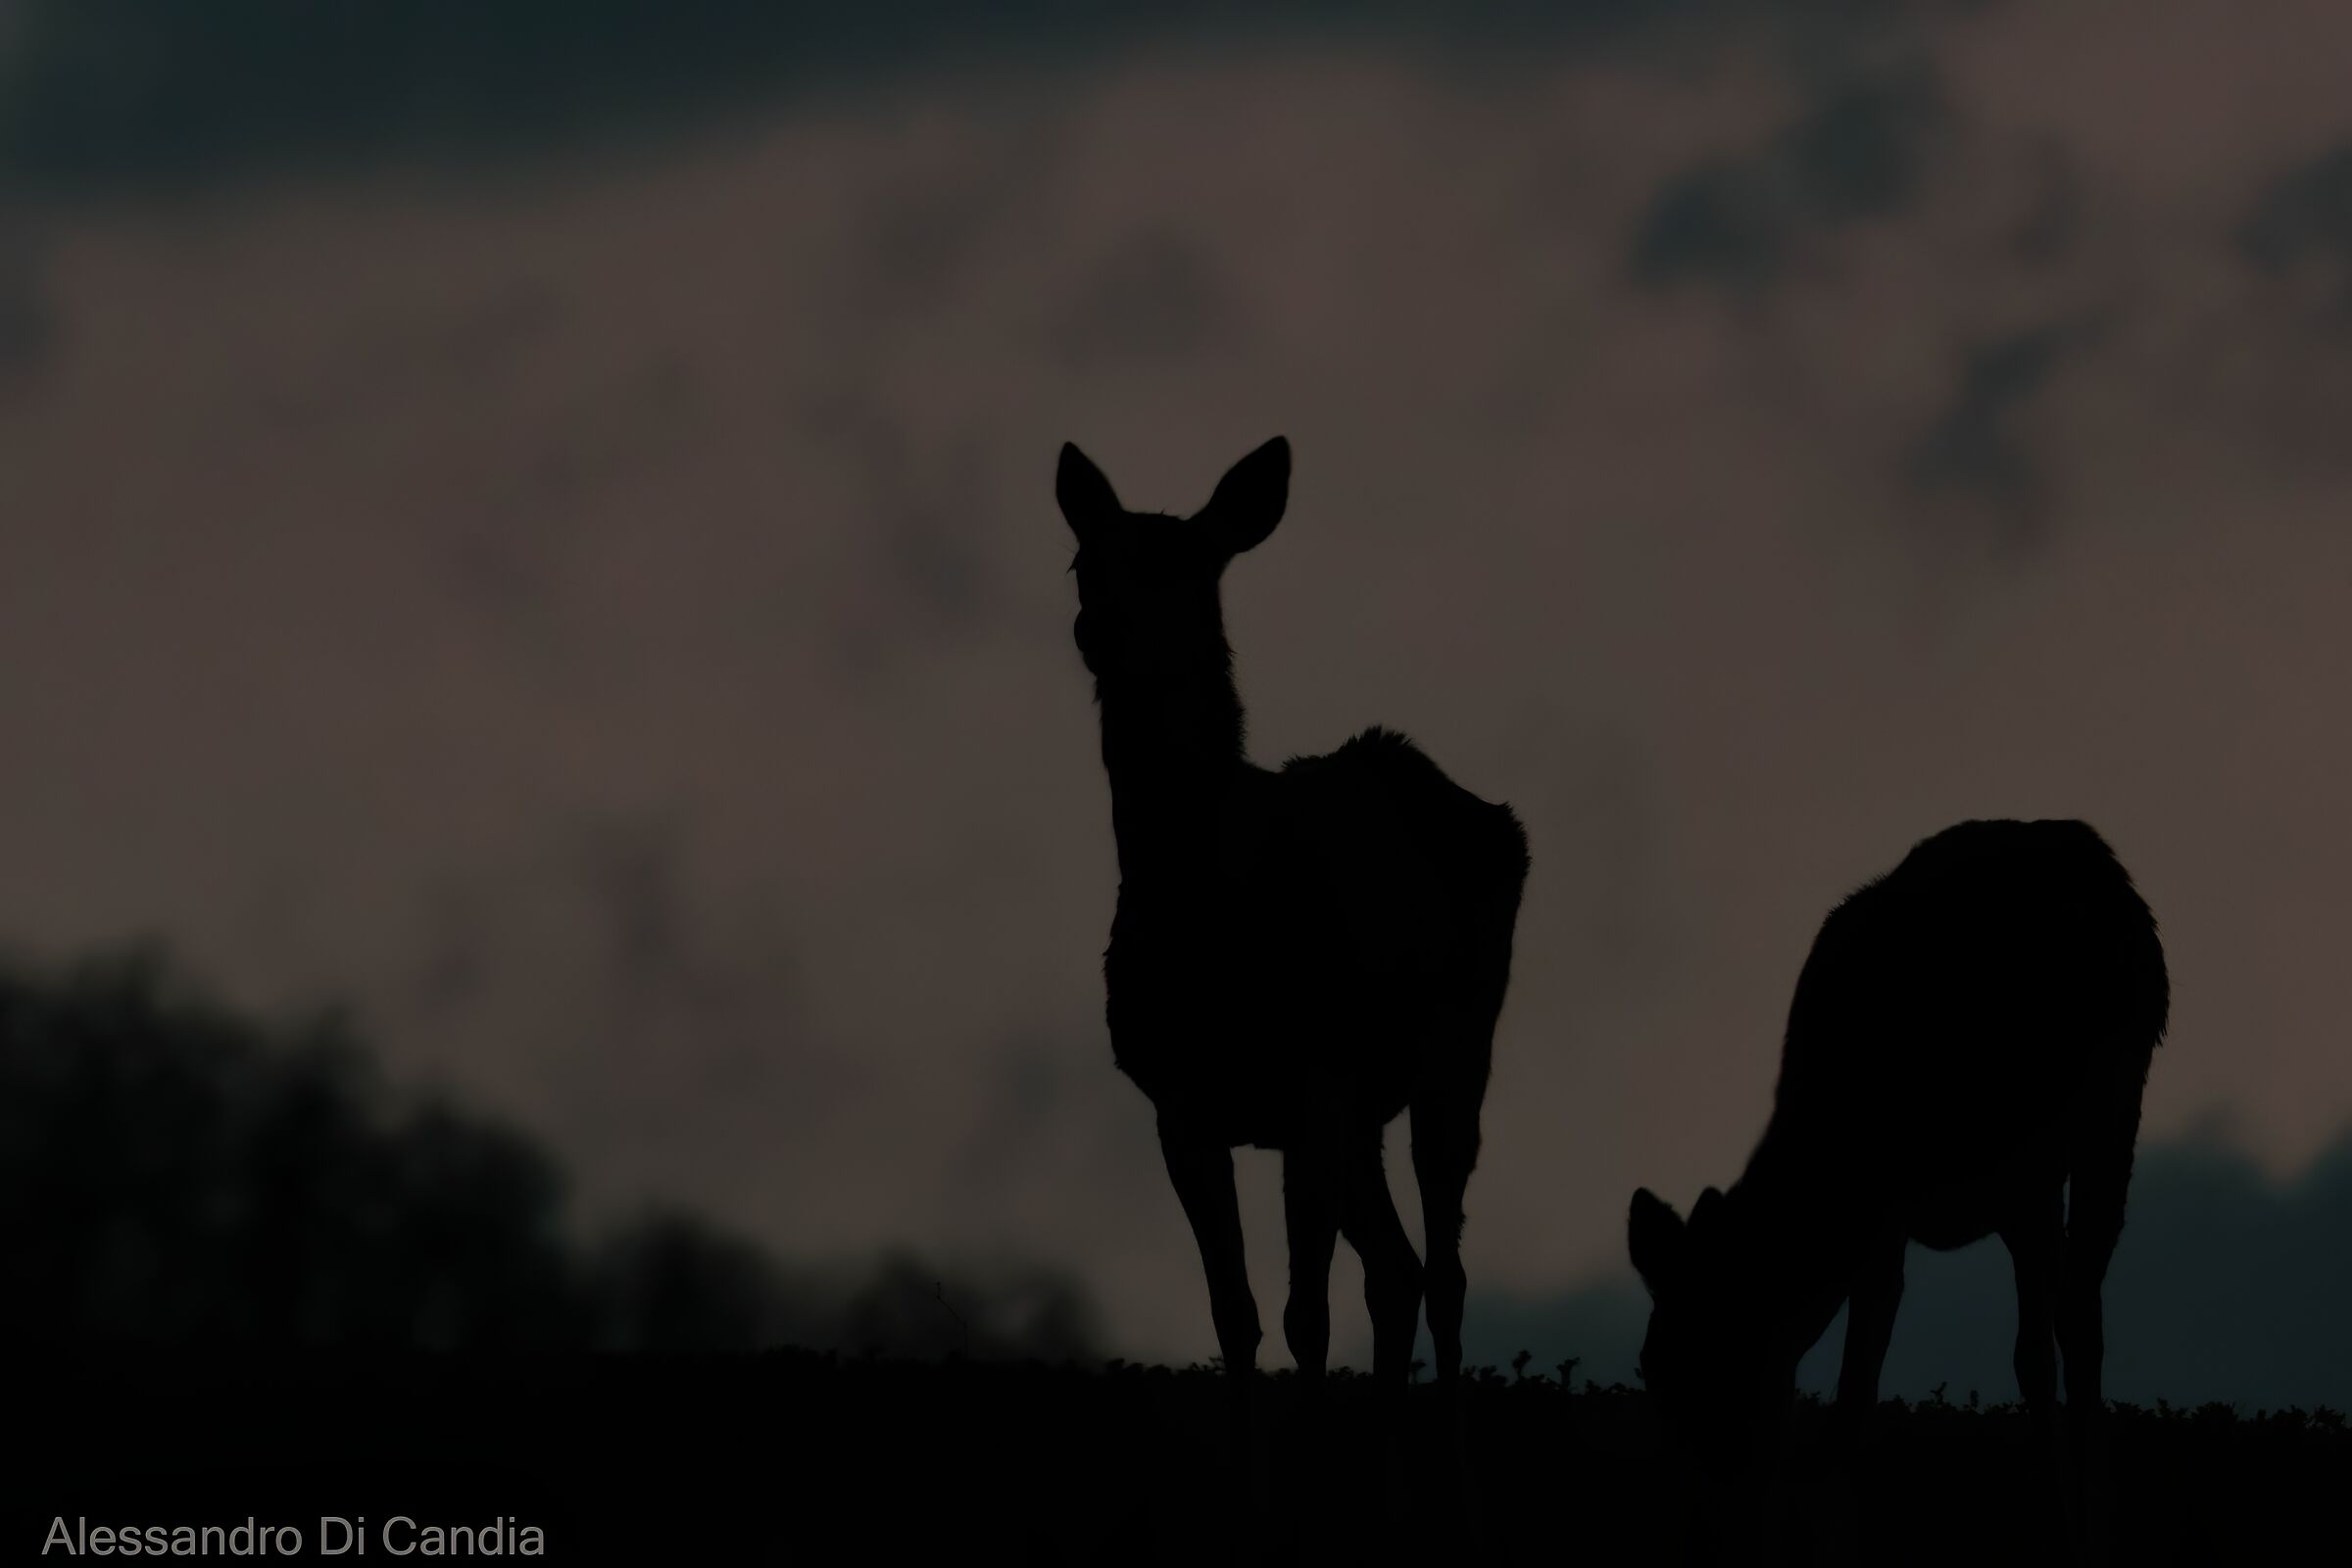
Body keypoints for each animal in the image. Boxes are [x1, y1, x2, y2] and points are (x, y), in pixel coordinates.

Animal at [1055, 435, 1530, 1515]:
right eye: (1084, 562)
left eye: (1189, 564)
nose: (1098, 627)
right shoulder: (1182, 1101)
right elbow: (1234, 1310)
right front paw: (1251, 1487)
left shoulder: (1312, 1075)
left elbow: (1305, 1309)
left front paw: (1307, 1486)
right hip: (1360, 1110)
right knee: (1397, 1269)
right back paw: (1389, 1483)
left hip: (1452, 1049)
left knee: (1444, 1270)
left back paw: (1456, 1477)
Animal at [1627, 818, 2167, 1564]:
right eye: (1649, 1365)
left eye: (1732, 1352)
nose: (1700, 1532)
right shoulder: (1911, 1217)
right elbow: (1871, 1379)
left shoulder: (1987, 1183)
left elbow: (1980, 1361)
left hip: (2109, 1112)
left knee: (2080, 1319)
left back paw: (2092, 1528)